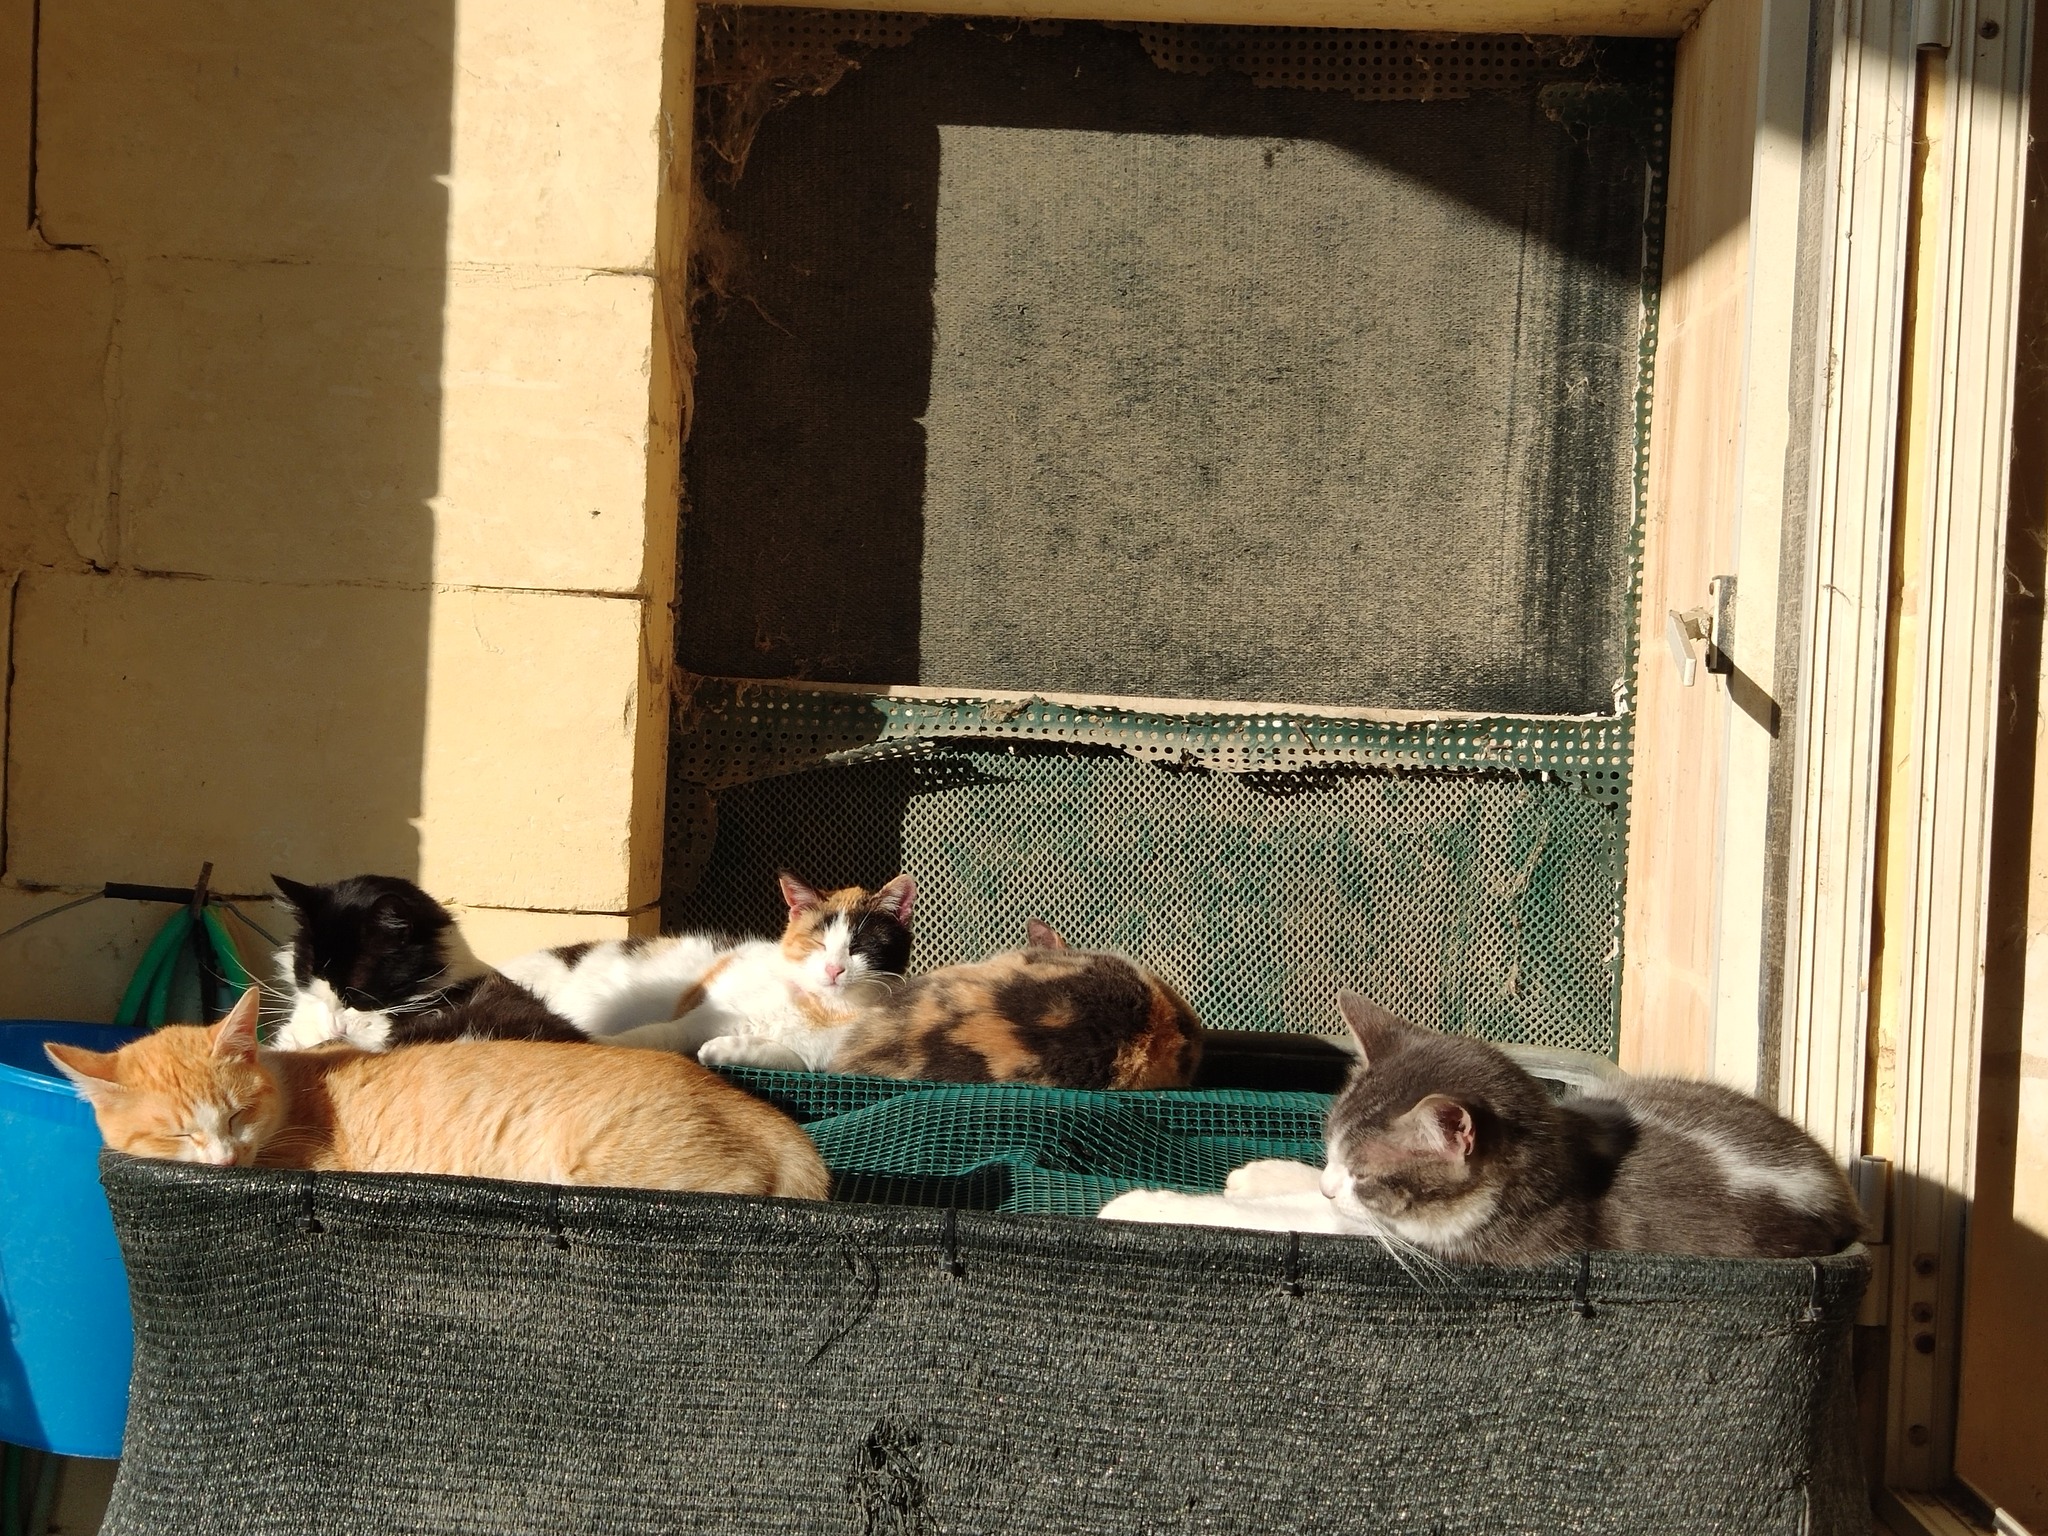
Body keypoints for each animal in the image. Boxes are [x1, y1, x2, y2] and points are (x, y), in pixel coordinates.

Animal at [604, 873, 916, 1071]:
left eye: (858, 946)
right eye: (818, 943)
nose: (833, 969)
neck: (817, 1006)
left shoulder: (820, 1058)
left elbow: (790, 1058)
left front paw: (721, 1049)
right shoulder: (694, 1019)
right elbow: (658, 1035)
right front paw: (605, 1043)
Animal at [1100, 991, 1861, 1262]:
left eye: (1368, 1175)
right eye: (1333, 1151)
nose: (1332, 1186)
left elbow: (1280, 1220)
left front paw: (1144, 1205)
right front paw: (1268, 1174)